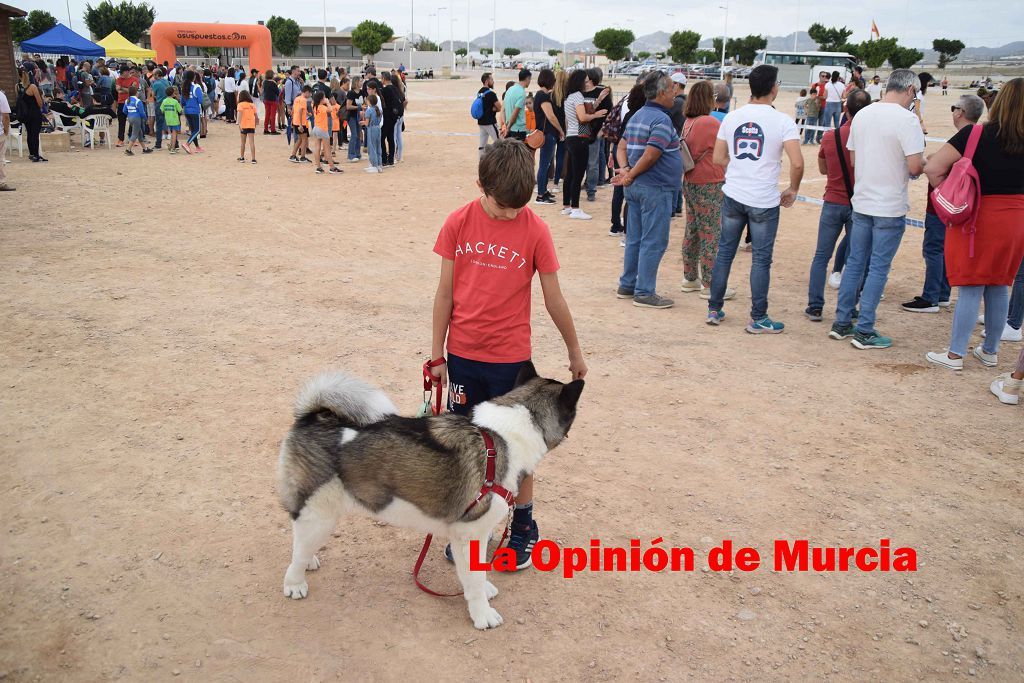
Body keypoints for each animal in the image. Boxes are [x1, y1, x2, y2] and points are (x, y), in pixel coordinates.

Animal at [278, 362, 585, 630]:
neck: (503, 438)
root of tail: (312, 417)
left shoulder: (474, 533)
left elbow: (478, 571)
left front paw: (485, 590)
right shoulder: (468, 533)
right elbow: (473, 580)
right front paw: (483, 614)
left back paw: (309, 560)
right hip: (319, 513)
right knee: (299, 543)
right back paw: (295, 582)